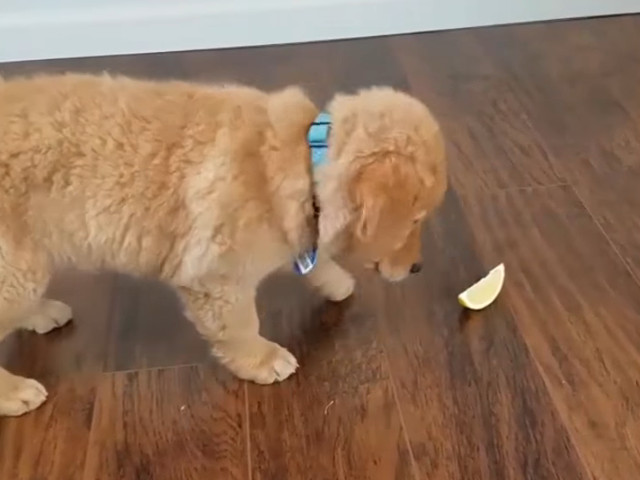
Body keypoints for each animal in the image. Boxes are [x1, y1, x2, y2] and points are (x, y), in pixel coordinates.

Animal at [0, 74, 446, 416]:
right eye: (415, 220)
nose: (418, 268)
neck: (305, 158)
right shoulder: (216, 278)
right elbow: (241, 326)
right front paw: (262, 360)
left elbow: (312, 256)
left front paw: (336, 281)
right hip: (16, 270)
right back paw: (16, 392)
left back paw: (42, 312)